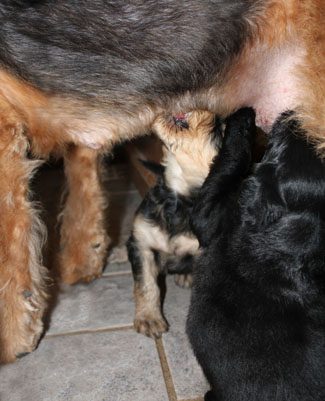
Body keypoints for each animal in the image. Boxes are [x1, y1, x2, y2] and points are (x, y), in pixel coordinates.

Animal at [125, 110, 221, 338]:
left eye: (219, 130)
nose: (212, 113)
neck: (180, 199)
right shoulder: (141, 243)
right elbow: (147, 285)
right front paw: (149, 319)